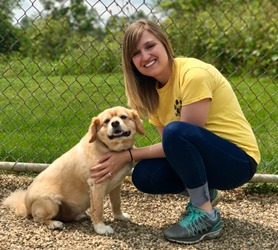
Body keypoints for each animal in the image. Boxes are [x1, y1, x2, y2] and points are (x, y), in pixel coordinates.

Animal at [2, 106, 144, 234]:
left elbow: (116, 203)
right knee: (38, 219)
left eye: (123, 117)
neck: (110, 149)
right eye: (106, 121)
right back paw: (54, 223)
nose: (115, 123)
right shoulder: (97, 186)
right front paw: (101, 228)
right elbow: (98, 209)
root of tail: (27, 206)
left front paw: (120, 216)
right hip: (51, 202)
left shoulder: (116, 185)